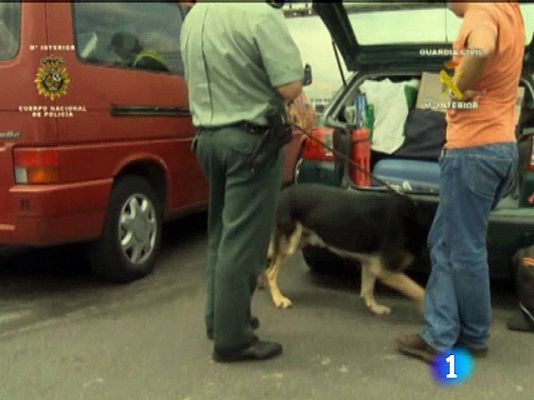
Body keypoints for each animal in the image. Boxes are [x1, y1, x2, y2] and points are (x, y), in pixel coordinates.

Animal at [264, 184, 436, 316]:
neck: (416, 219)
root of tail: (284, 193)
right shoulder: (386, 270)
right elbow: (419, 290)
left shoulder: (371, 264)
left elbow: (367, 289)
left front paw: (375, 307)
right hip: (290, 244)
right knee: (271, 273)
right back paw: (279, 299)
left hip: (298, 242)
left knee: (268, 266)